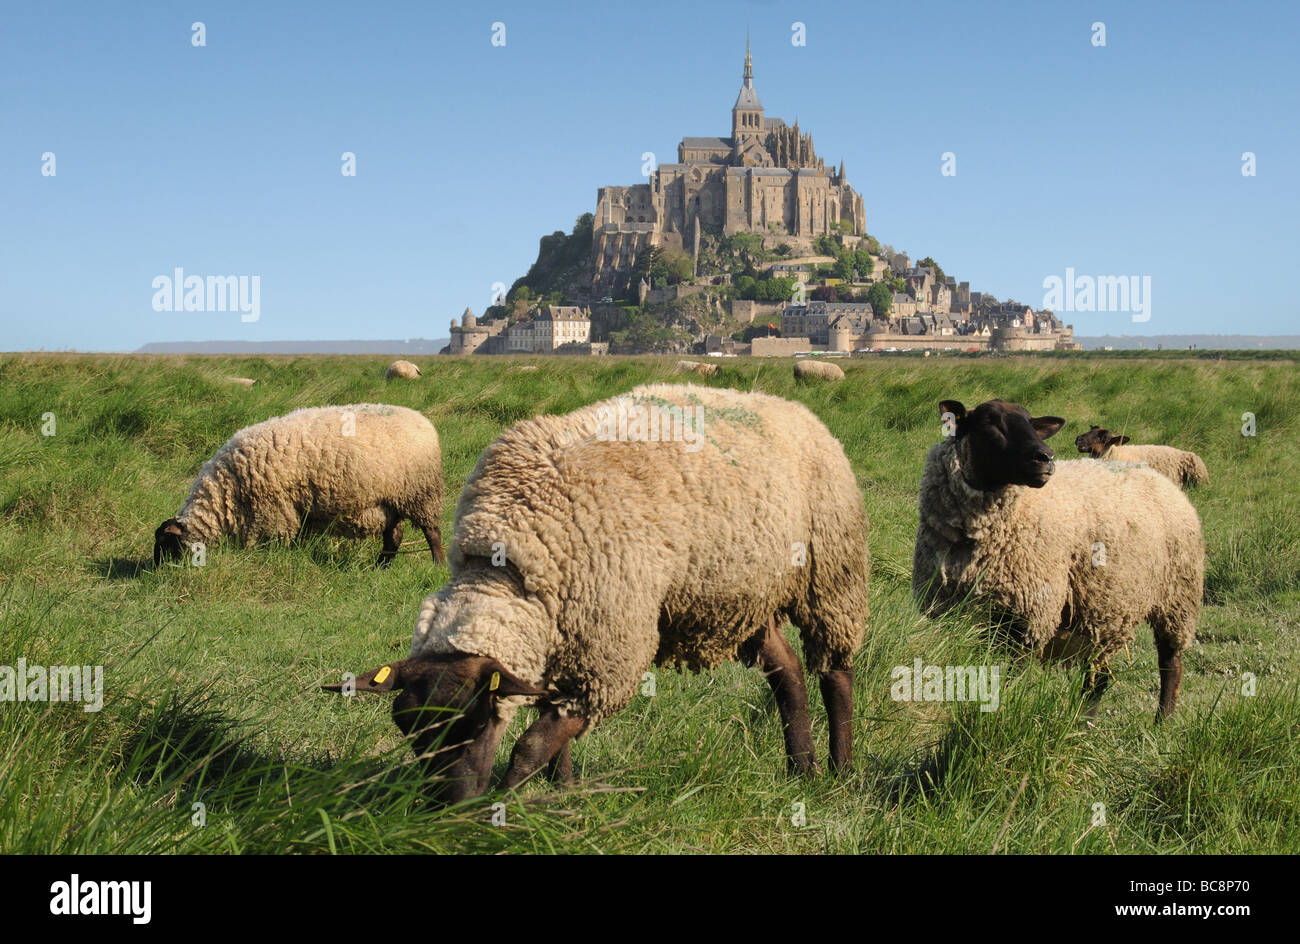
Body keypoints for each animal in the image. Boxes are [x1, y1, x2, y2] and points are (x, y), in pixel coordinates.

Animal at [153, 400, 441, 566]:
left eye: (166, 546)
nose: (159, 574)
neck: (227, 491)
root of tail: (422, 421)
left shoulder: (274, 513)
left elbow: (275, 545)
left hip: (420, 493)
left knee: (432, 532)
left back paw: (437, 564)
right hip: (389, 500)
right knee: (394, 536)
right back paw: (381, 567)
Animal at [327, 379, 873, 800]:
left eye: (478, 722)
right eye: (408, 729)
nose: (447, 807)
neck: (516, 566)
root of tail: (790, 407)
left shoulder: (610, 655)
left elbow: (530, 744)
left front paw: (501, 803)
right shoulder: (564, 643)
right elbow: (553, 739)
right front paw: (564, 790)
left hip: (832, 573)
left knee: (835, 673)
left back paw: (841, 768)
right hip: (743, 597)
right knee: (789, 673)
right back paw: (802, 767)